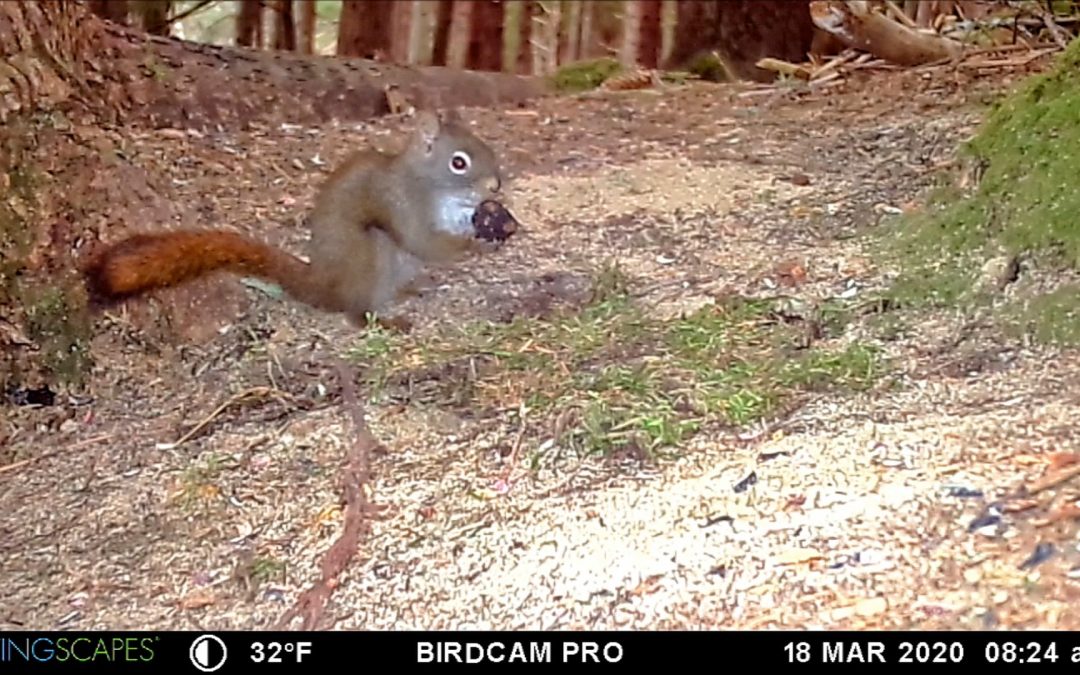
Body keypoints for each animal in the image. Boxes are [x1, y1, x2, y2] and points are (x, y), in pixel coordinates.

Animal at [82, 109, 512, 331]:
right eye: (459, 162)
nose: (496, 184)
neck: (440, 192)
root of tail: (322, 286)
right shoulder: (403, 205)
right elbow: (425, 241)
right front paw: (475, 245)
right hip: (372, 254)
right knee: (355, 311)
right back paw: (381, 319)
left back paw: (408, 290)